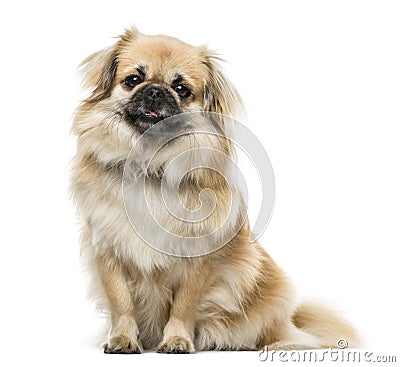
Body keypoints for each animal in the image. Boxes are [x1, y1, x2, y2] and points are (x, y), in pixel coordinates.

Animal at [69, 27, 360, 356]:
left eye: (181, 88)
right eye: (133, 79)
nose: (155, 91)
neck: (150, 164)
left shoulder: (199, 258)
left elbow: (184, 305)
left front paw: (177, 340)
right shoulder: (108, 249)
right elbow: (121, 302)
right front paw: (123, 338)